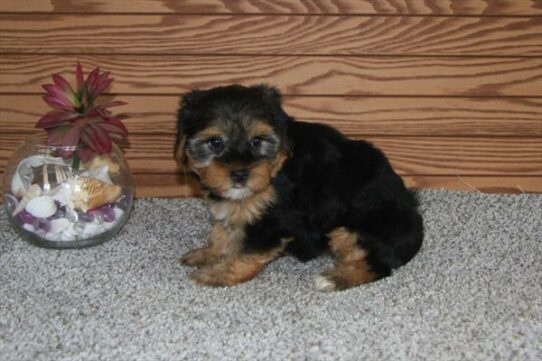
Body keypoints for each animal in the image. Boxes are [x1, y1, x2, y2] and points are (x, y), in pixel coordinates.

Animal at [175, 83, 424, 290]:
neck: (272, 171)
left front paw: (217, 274)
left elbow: (248, 251)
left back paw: (335, 278)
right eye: (215, 142)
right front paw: (210, 253)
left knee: (377, 263)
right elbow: (224, 231)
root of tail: (415, 227)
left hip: (357, 227)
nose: (240, 174)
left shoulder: (274, 220)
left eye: (257, 141)